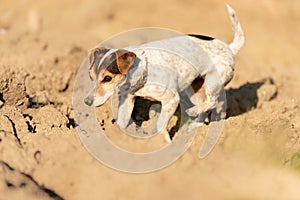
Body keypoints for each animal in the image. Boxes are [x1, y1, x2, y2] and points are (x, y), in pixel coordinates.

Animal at [84, 5, 244, 142]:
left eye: (107, 78)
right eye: (91, 77)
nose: (86, 102)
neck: (143, 70)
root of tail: (230, 48)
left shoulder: (171, 100)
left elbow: (161, 124)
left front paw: (163, 142)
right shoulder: (128, 99)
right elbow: (122, 122)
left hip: (213, 81)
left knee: (211, 102)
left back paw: (192, 113)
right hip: (194, 89)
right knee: (205, 108)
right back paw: (193, 128)